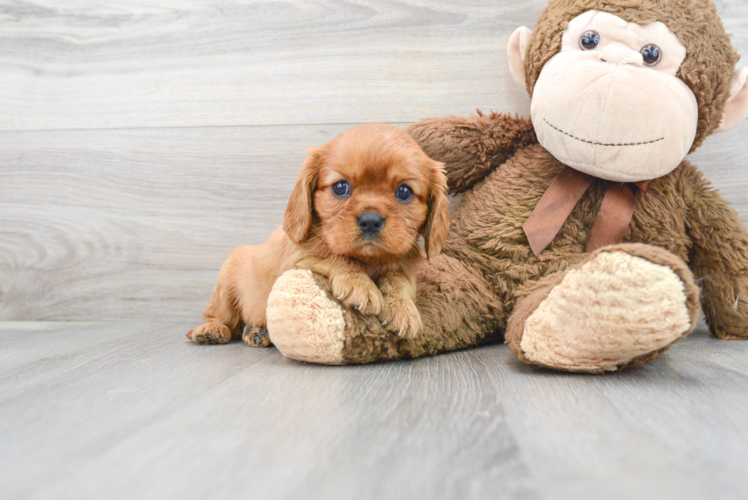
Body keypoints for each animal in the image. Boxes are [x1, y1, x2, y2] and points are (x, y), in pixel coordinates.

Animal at [187, 123, 450, 346]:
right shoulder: (296, 260)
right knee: (219, 317)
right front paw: (360, 285)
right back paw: (211, 331)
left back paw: (256, 332)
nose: (370, 221)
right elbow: (331, 254)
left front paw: (403, 310)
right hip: (225, 283)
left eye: (404, 192)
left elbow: (399, 280)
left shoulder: (407, 269)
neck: (369, 261)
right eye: (340, 187)